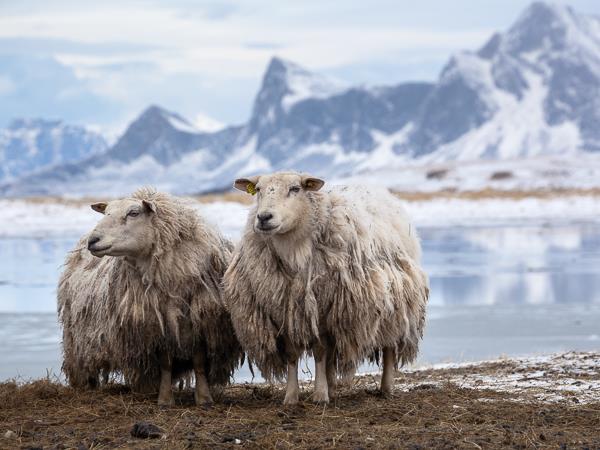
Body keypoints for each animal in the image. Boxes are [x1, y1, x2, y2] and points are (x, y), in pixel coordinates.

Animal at [57, 188, 241, 406]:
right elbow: (166, 364)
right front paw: (165, 399)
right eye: (106, 212)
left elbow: (199, 363)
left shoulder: (201, 322)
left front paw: (204, 398)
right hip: (77, 339)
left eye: (133, 213)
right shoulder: (157, 327)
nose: (92, 241)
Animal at [224, 171, 426, 404]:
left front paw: (320, 395)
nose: (264, 217)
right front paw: (291, 397)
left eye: (295, 189)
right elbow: (293, 354)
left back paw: (386, 388)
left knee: (389, 346)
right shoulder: (286, 308)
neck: (293, 248)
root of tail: (378, 189)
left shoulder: (321, 306)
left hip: (396, 301)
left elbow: (320, 351)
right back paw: (333, 386)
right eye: (258, 190)